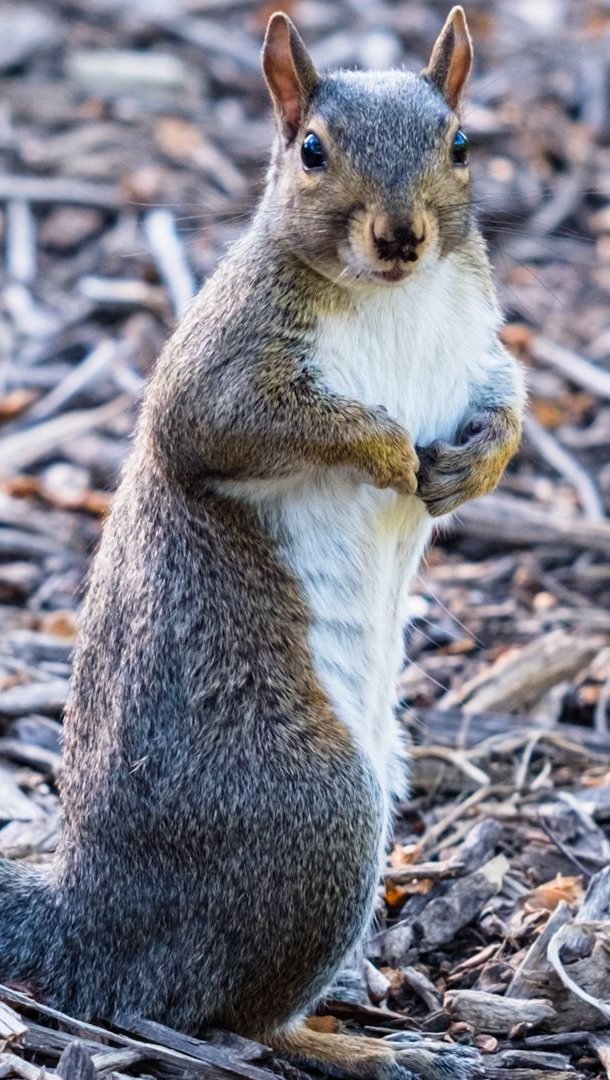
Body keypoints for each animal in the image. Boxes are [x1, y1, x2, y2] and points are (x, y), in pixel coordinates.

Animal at [0, 8, 522, 1080]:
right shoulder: (223, 366)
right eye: (312, 151)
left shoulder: (477, 351)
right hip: (311, 812)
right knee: (227, 1018)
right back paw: (353, 1046)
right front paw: (385, 447)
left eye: (461, 143)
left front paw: (475, 466)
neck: (396, 300)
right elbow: (234, 426)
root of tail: (88, 921)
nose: (401, 236)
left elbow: (509, 405)